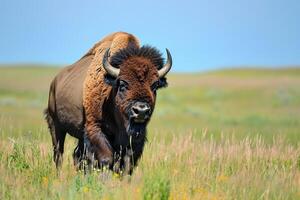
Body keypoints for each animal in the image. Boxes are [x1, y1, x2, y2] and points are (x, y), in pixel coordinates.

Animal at [43, 32, 172, 174]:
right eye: (122, 84)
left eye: (154, 86)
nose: (141, 111)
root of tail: (54, 82)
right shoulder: (95, 129)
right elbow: (106, 159)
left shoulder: (136, 138)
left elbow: (128, 162)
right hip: (56, 126)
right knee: (58, 153)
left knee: (76, 155)